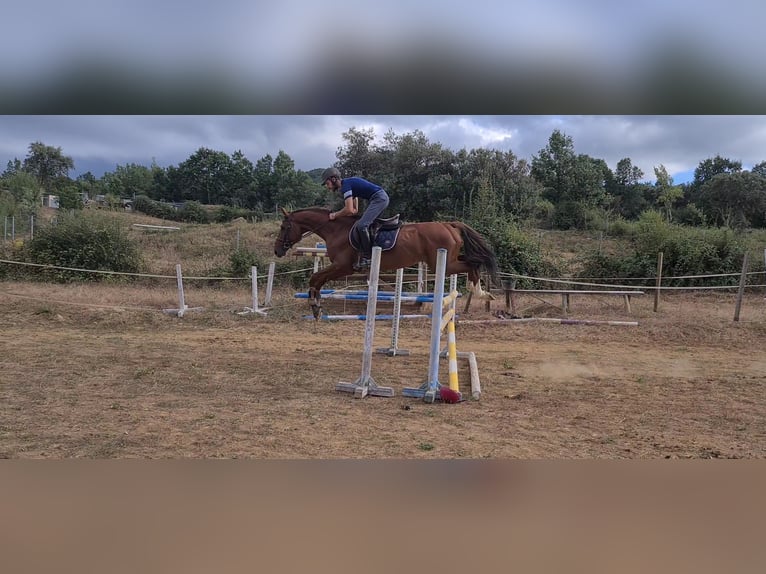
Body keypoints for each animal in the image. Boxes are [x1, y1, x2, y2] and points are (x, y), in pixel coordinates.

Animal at [272, 207, 500, 320]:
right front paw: (316, 306)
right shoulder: (339, 267)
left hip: (442, 264)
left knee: (473, 264)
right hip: (448, 260)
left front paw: (315, 305)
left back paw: (481, 292)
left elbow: (315, 278)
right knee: (471, 262)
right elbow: (317, 280)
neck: (336, 229)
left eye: (283, 227)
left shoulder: (343, 266)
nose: (277, 250)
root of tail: (448, 225)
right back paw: (482, 292)